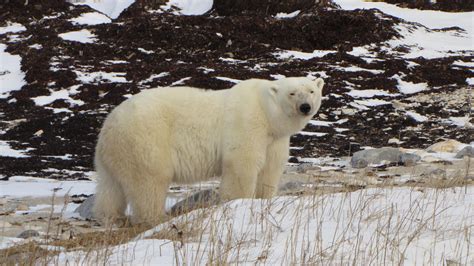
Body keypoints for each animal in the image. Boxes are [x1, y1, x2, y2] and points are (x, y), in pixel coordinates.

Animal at [94, 77, 326, 224]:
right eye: (292, 93)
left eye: (312, 91)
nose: (305, 107)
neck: (266, 112)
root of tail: (109, 124)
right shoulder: (247, 122)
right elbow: (242, 164)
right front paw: (239, 202)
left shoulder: (274, 139)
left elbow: (270, 168)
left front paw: (264, 198)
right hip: (146, 140)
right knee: (149, 182)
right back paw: (155, 218)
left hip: (115, 154)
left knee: (110, 188)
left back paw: (112, 216)